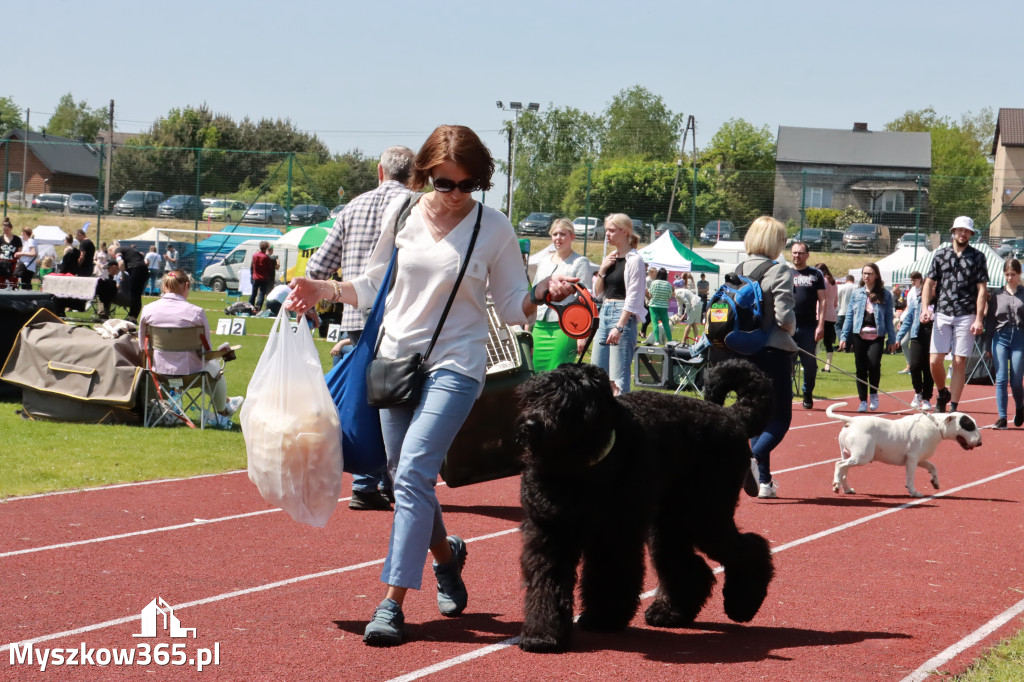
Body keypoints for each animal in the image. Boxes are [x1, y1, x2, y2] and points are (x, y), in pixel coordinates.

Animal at [520, 358, 774, 651]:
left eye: (565, 401)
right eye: (532, 396)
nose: (530, 424)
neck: (581, 469)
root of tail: (732, 416)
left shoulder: (613, 534)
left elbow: (609, 575)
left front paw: (603, 618)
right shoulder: (550, 534)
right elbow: (546, 582)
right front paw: (542, 634)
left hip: (706, 515)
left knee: (749, 549)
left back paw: (742, 603)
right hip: (672, 523)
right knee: (687, 566)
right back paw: (671, 612)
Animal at [823, 401, 983, 497]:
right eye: (968, 425)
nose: (980, 443)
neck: (937, 426)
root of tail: (852, 420)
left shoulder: (921, 459)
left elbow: (933, 467)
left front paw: (935, 482)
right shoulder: (912, 459)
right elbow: (910, 478)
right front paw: (914, 492)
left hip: (849, 454)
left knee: (844, 471)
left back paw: (846, 489)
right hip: (862, 456)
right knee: (839, 465)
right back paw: (836, 485)